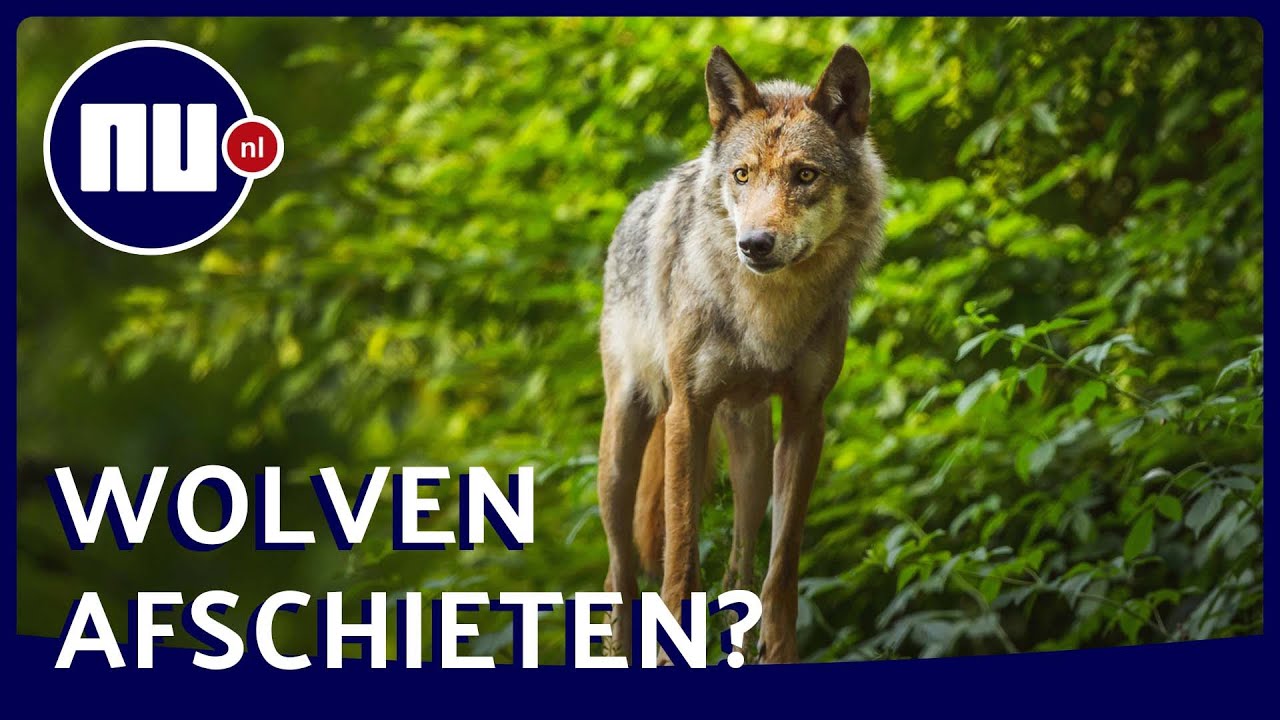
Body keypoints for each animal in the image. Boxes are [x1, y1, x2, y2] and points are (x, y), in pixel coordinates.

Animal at [597, 45, 886, 664]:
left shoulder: (806, 419)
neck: (767, 317)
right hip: (623, 450)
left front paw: (779, 651)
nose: (753, 244)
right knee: (620, 572)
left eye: (805, 175)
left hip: (751, 458)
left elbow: (781, 569)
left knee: (740, 566)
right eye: (742, 175)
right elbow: (681, 558)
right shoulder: (688, 411)